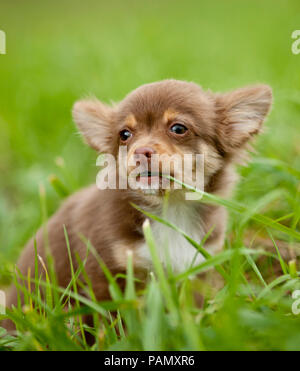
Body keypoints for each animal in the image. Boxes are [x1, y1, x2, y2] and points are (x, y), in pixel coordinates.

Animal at [4, 80, 272, 330]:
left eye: (178, 128)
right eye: (125, 135)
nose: (141, 151)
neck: (171, 208)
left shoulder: (199, 269)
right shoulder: (105, 275)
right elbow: (111, 323)